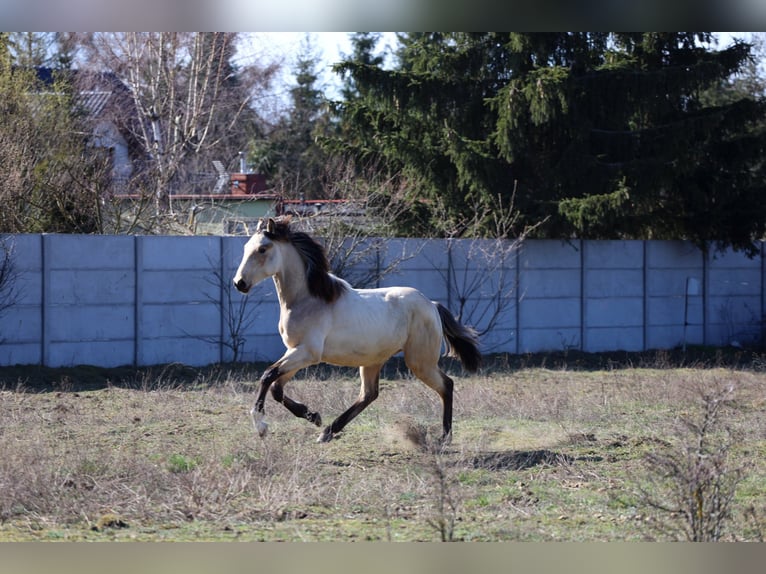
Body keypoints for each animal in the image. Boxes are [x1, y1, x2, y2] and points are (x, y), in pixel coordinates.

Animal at [233, 217, 481, 444]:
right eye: (245, 248)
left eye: (262, 248)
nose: (239, 283)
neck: (308, 300)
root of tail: (431, 305)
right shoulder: (294, 351)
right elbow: (276, 387)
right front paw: (313, 416)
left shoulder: (307, 353)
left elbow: (268, 376)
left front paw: (261, 426)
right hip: (374, 360)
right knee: (369, 394)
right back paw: (327, 431)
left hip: (420, 361)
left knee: (446, 385)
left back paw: (445, 437)